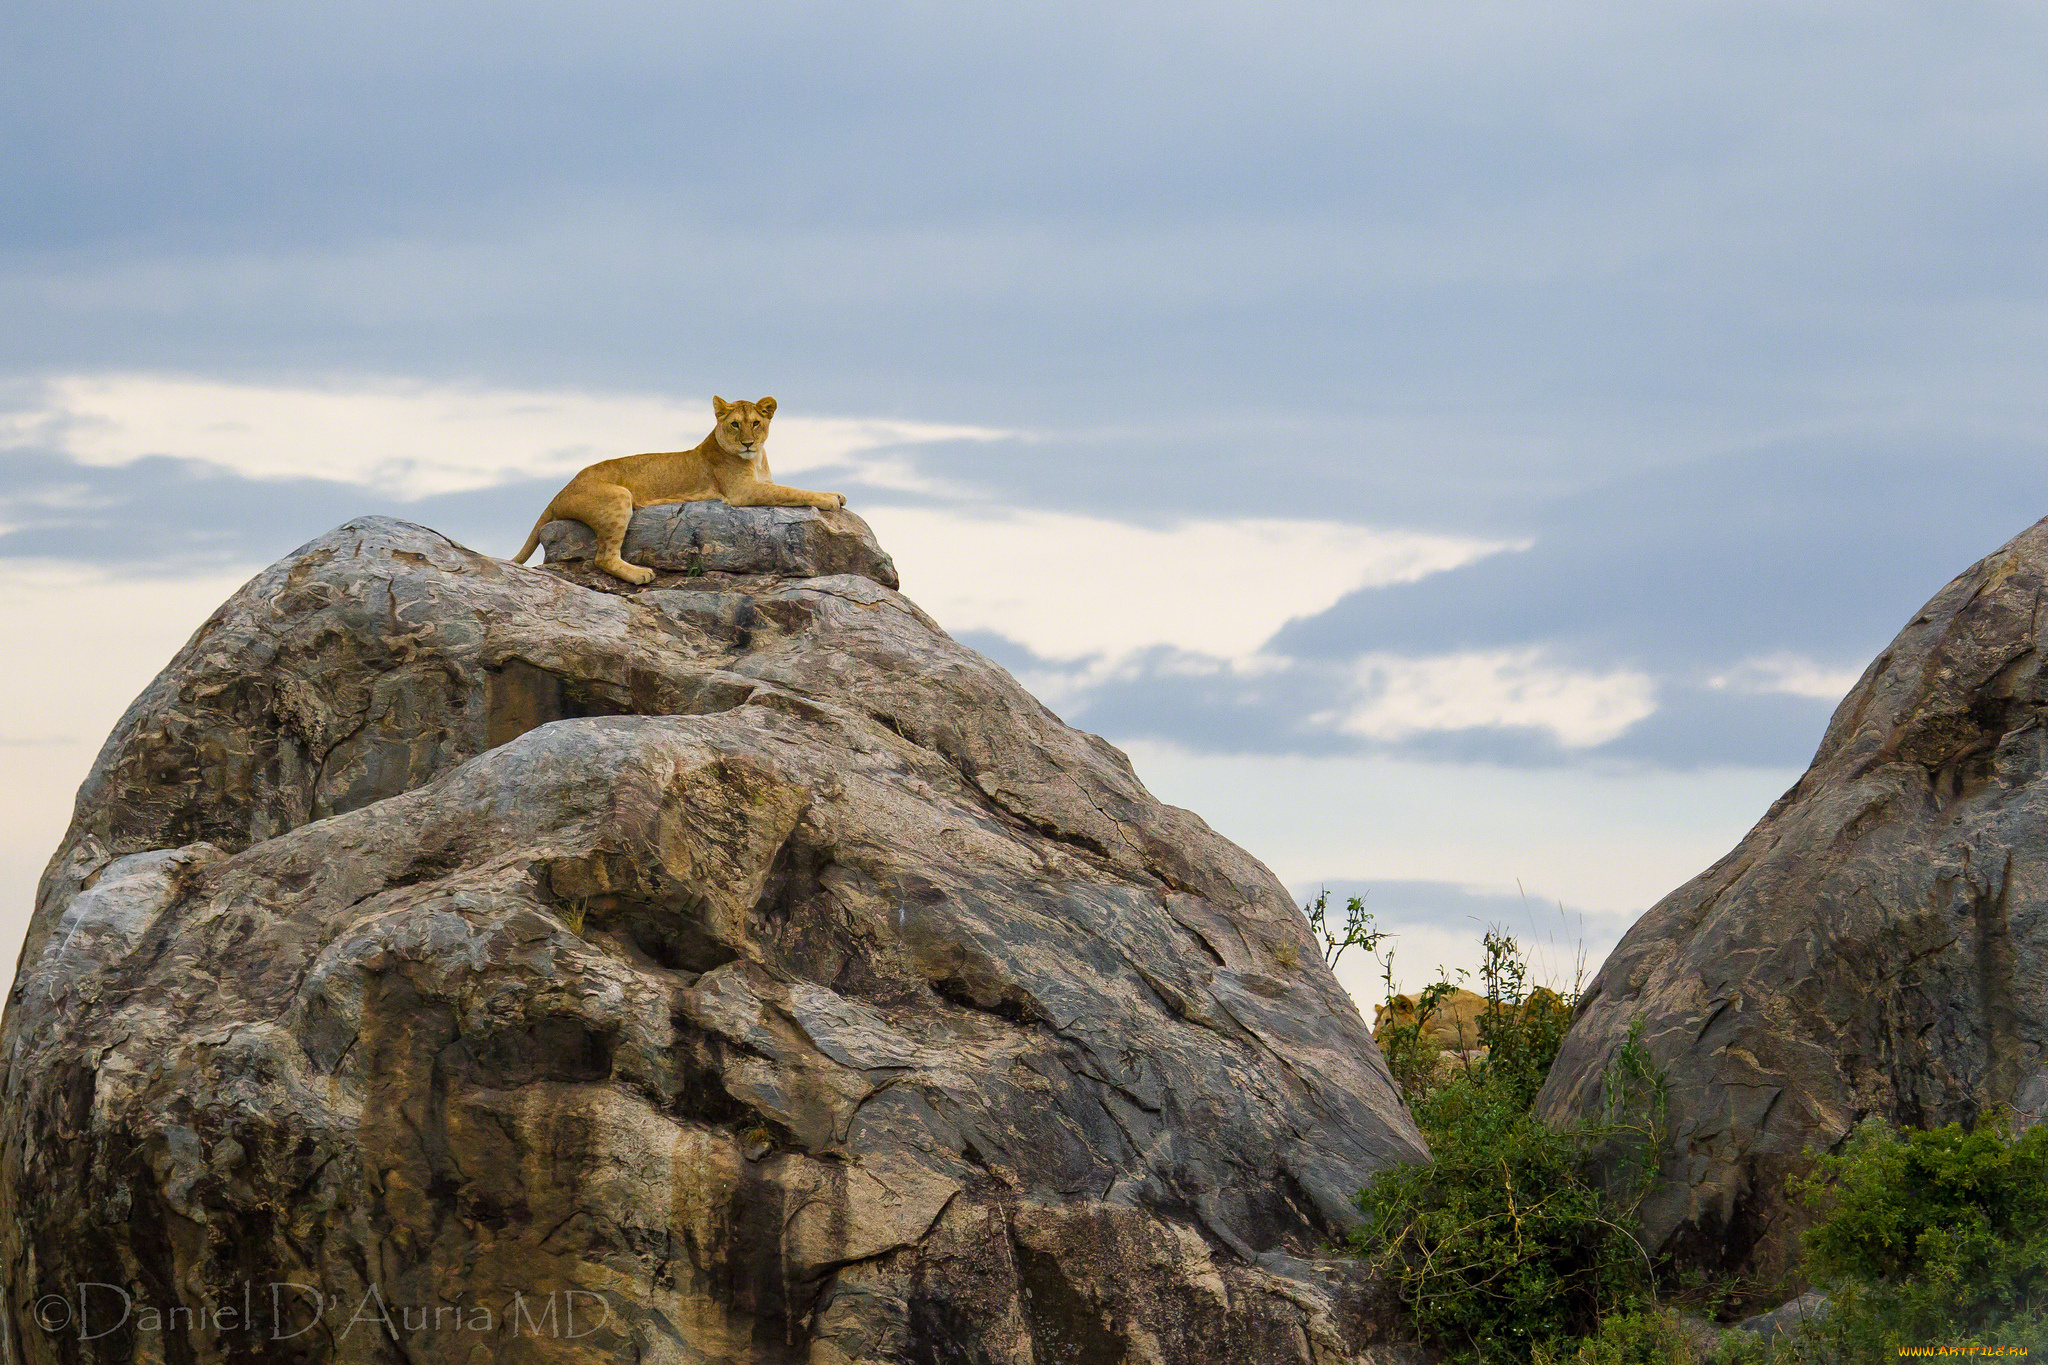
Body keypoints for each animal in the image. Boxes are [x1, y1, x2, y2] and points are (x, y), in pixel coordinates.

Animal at [512, 397, 847, 585]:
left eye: (756, 423)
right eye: (735, 425)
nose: (748, 443)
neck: (757, 459)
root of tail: (560, 491)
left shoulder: (760, 484)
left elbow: (789, 486)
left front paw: (837, 494)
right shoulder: (743, 492)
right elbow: (793, 491)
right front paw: (830, 499)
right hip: (618, 497)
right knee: (603, 558)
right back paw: (640, 574)